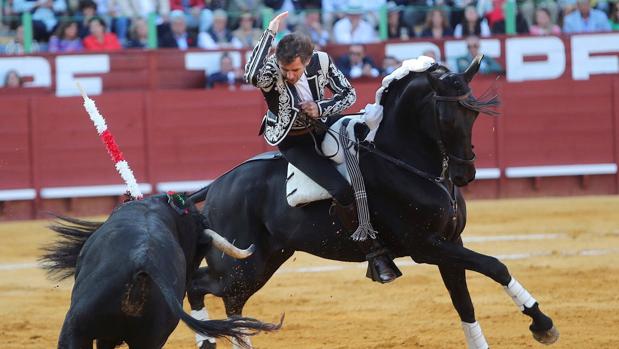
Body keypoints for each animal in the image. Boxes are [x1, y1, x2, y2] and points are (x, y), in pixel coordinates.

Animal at [186, 55, 560, 346]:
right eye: (446, 117)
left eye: (474, 115)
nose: (464, 174)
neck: (403, 158)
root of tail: (217, 186)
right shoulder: (425, 246)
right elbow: (495, 265)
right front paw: (542, 324)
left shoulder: (451, 242)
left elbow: (464, 303)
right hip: (241, 263)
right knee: (200, 286)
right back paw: (206, 340)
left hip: (263, 261)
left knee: (230, 302)